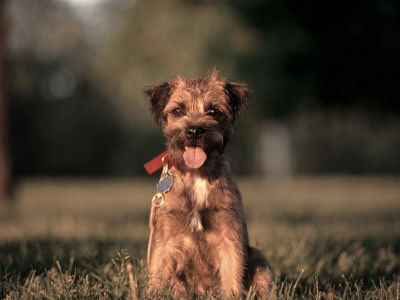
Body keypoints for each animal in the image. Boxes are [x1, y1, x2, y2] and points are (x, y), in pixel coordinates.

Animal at [145, 72, 274, 298]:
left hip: (259, 258)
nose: (194, 131)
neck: (198, 174)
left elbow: (232, 275)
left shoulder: (230, 236)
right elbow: (158, 273)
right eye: (177, 110)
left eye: (214, 111)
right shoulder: (164, 239)